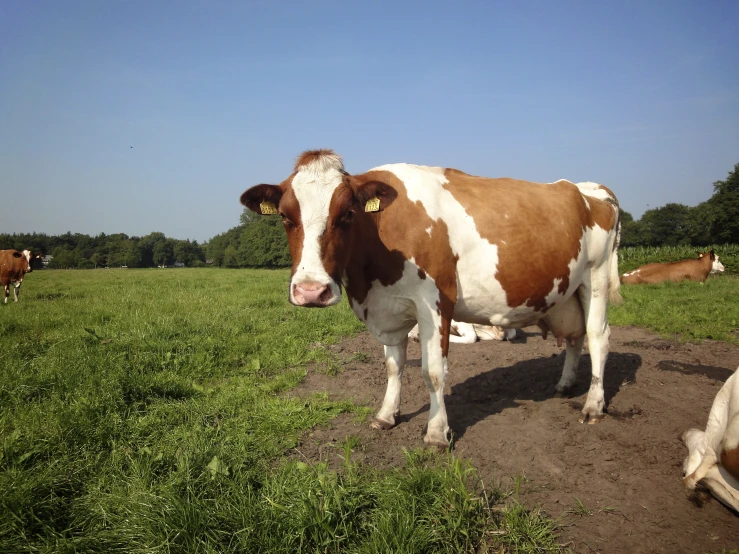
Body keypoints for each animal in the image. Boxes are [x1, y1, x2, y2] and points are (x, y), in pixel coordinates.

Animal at [243, 149, 624, 446]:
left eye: (347, 214)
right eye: (285, 217)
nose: (311, 290)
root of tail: (588, 187)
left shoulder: (436, 302)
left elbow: (434, 372)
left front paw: (437, 433)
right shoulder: (389, 307)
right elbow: (393, 365)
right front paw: (386, 415)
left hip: (596, 277)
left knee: (598, 337)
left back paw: (593, 405)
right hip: (567, 293)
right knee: (574, 338)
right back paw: (565, 384)